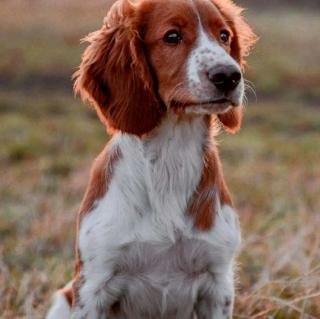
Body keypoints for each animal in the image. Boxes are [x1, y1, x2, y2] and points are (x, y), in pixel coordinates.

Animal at [46, 0, 256, 318]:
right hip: (64, 298)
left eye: (224, 35)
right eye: (172, 36)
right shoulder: (94, 283)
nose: (229, 76)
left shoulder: (217, 281)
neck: (171, 157)